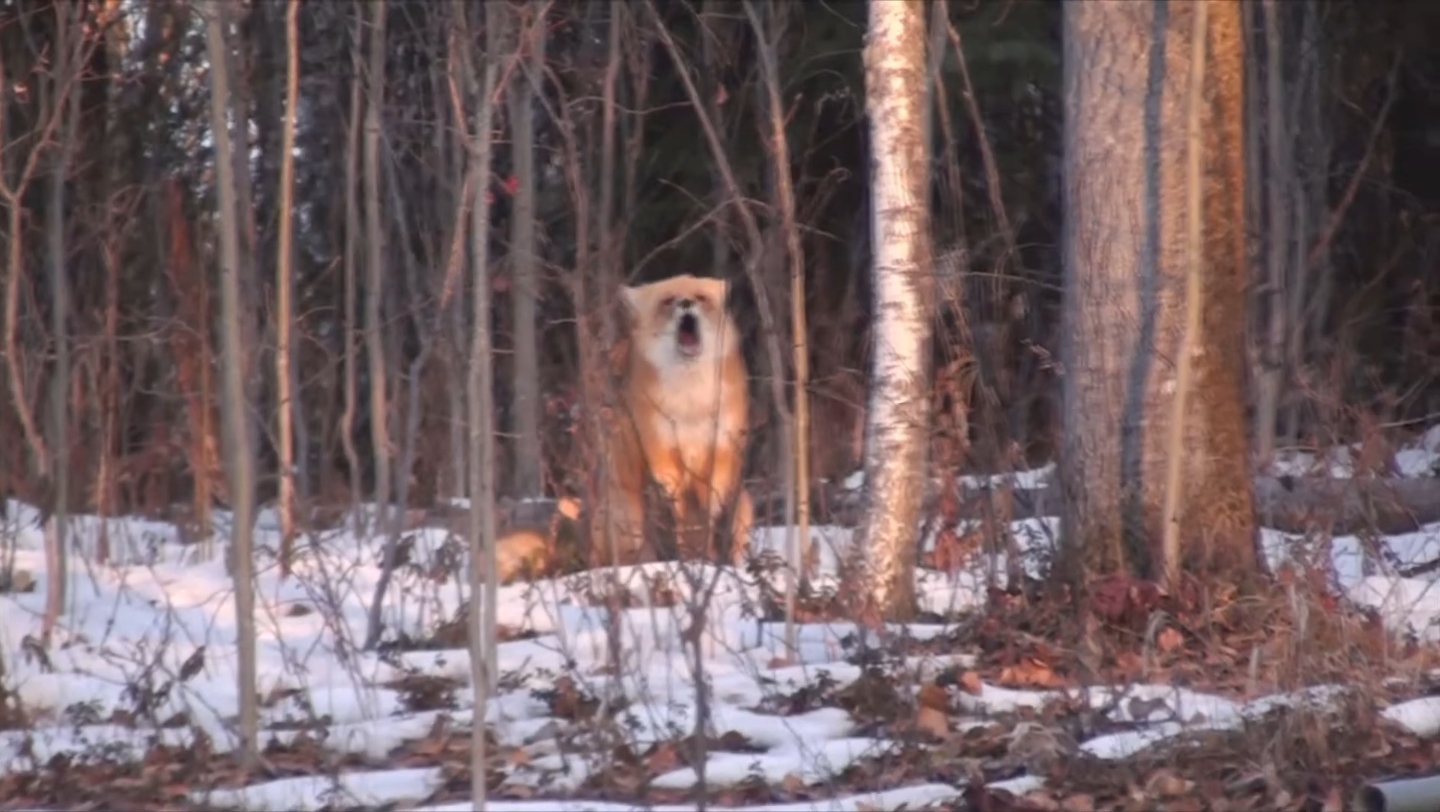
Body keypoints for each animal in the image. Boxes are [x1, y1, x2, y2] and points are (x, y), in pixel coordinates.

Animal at [601, 276, 754, 567]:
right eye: (668, 300)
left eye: (701, 298)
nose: (686, 303)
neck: (689, 407)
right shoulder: (661, 450)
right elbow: (678, 518)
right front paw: (686, 561)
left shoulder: (721, 447)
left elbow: (711, 512)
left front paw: (708, 559)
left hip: (745, 504)